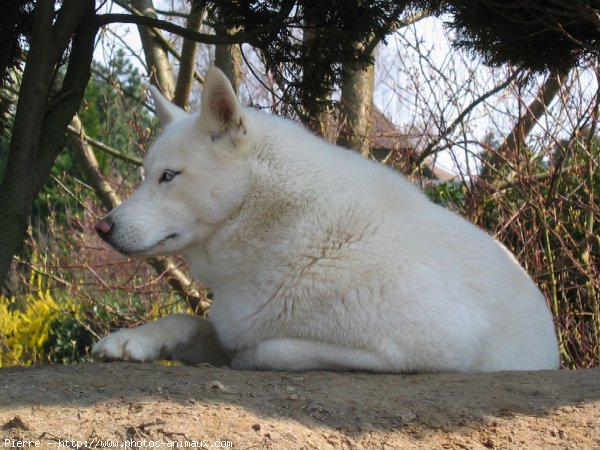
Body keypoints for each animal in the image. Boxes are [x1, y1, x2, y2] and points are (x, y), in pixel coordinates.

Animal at [91, 67, 560, 372]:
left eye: (169, 176)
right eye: (146, 175)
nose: (103, 227)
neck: (284, 229)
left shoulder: (429, 346)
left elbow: (274, 349)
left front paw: (246, 357)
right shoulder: (230, 323)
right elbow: (187, 320)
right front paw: (131, 340)